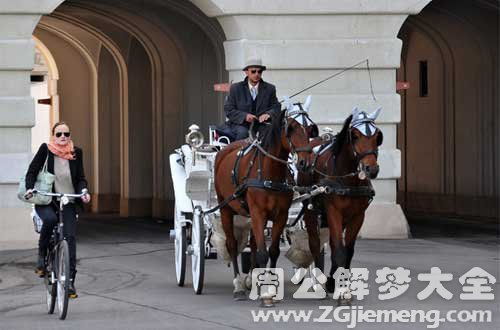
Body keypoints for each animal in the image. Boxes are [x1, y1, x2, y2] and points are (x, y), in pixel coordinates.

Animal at [214, 110, 312, 300]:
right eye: (290, 131)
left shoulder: (281, 215)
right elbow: (262, 252)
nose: (305, 163)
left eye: (308, 131)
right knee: (232, 244)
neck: (270, 174)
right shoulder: (258, 213)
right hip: (225, 209)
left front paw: (269, 287)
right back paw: (238, 285)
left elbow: (272, 251)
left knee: (252, 243)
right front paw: (264, 289)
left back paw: (250, 279)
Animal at [300, 107, 382, 302]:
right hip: (310, 210)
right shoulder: (333, 211)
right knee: (314, 243)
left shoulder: (358, 216)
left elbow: (348, 251)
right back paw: (318, 282)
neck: (348, 180)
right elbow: (339, 249)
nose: (372, 169)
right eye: (355, 136)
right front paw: (341, 290)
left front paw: (339, 284)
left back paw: (329, 281)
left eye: (378, 136)